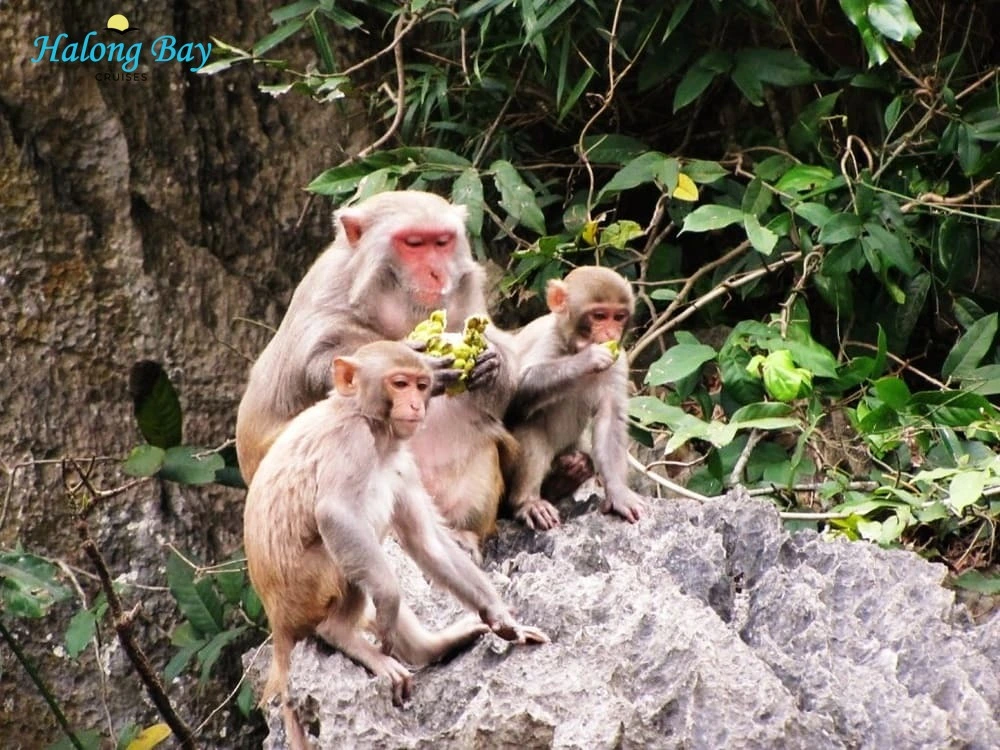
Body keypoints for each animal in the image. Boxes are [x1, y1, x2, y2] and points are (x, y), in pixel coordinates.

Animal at [235, 190, 519, 557]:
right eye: (413, 243)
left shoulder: (464, 295)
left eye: (442, 242)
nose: (436, 272)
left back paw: (462, 533)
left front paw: (491, 363)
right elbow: (321, 360)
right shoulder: (329, 286)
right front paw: (417, 359)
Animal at [244, 341, 548, 749]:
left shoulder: (402, 460)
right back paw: (342, 633)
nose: (417, 405)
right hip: (305, 590)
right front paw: (388, 603)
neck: (369, 421)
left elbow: (426, 542)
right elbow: (335, 514)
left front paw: (502, 618)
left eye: (421, 385)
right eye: (399, 384)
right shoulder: (352, 440)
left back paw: (429, 648)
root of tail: (277, 622)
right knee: (352, 542)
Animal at [503, 266, 646, 531]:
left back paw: (566, 476)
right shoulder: (546, 339)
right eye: (599, 316)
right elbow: (511, 392)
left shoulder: (618, 360)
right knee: (530, 424)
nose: (611, 332)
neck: (570, 346)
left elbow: (610, 420)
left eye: (619, 317)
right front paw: (587, 360)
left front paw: (619, 494)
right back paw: (528, 501)